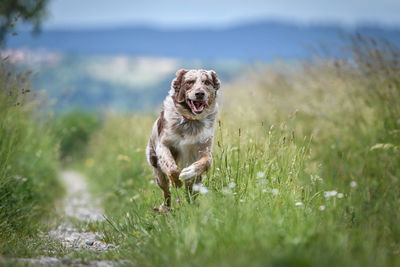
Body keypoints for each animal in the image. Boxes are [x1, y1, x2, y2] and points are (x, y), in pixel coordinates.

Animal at [147, 69, 220, 209]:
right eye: (189, 82)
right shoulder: (163, 145)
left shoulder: (205, 148)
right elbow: (172, 167)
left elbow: (206, 161)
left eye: (207, 82)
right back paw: (166, 208)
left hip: (196, 182)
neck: (190, 122)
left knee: (190, 194)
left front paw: (188, 171)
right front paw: (176, 182)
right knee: (166, 193)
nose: (200, 93)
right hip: (157, 171)